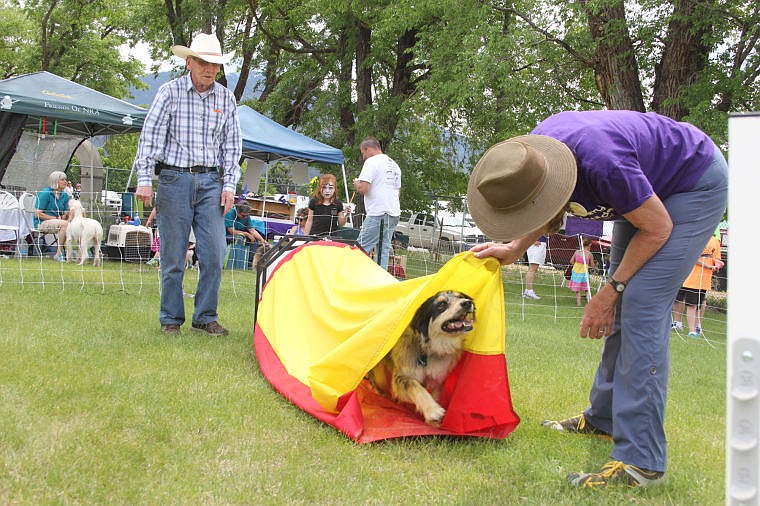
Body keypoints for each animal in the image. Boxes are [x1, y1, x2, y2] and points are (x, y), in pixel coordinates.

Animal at [368, 290, 476, 424]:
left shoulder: (438, 378)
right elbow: (416, 387)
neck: (430, 348)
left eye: (461, 297)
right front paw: (433, 410)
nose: (468, 303)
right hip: (380, 377)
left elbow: (435, 394)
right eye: (442, 304)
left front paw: (434, 423)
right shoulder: (402, 376)